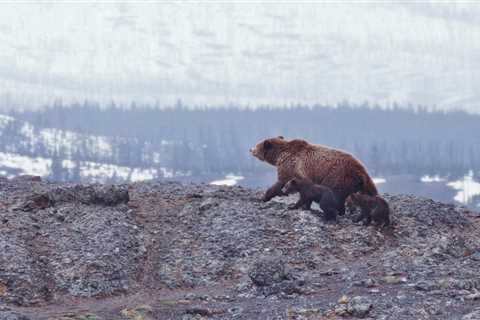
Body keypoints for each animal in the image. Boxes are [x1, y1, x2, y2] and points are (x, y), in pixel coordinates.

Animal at [248, 136, 378, 215]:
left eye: (257, 145)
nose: (250, 149)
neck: (279, 155)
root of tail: (362, 171)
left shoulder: (290, 166)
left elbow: (280, 182)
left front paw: (264, 197)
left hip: (338, 176)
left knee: (336, 194)